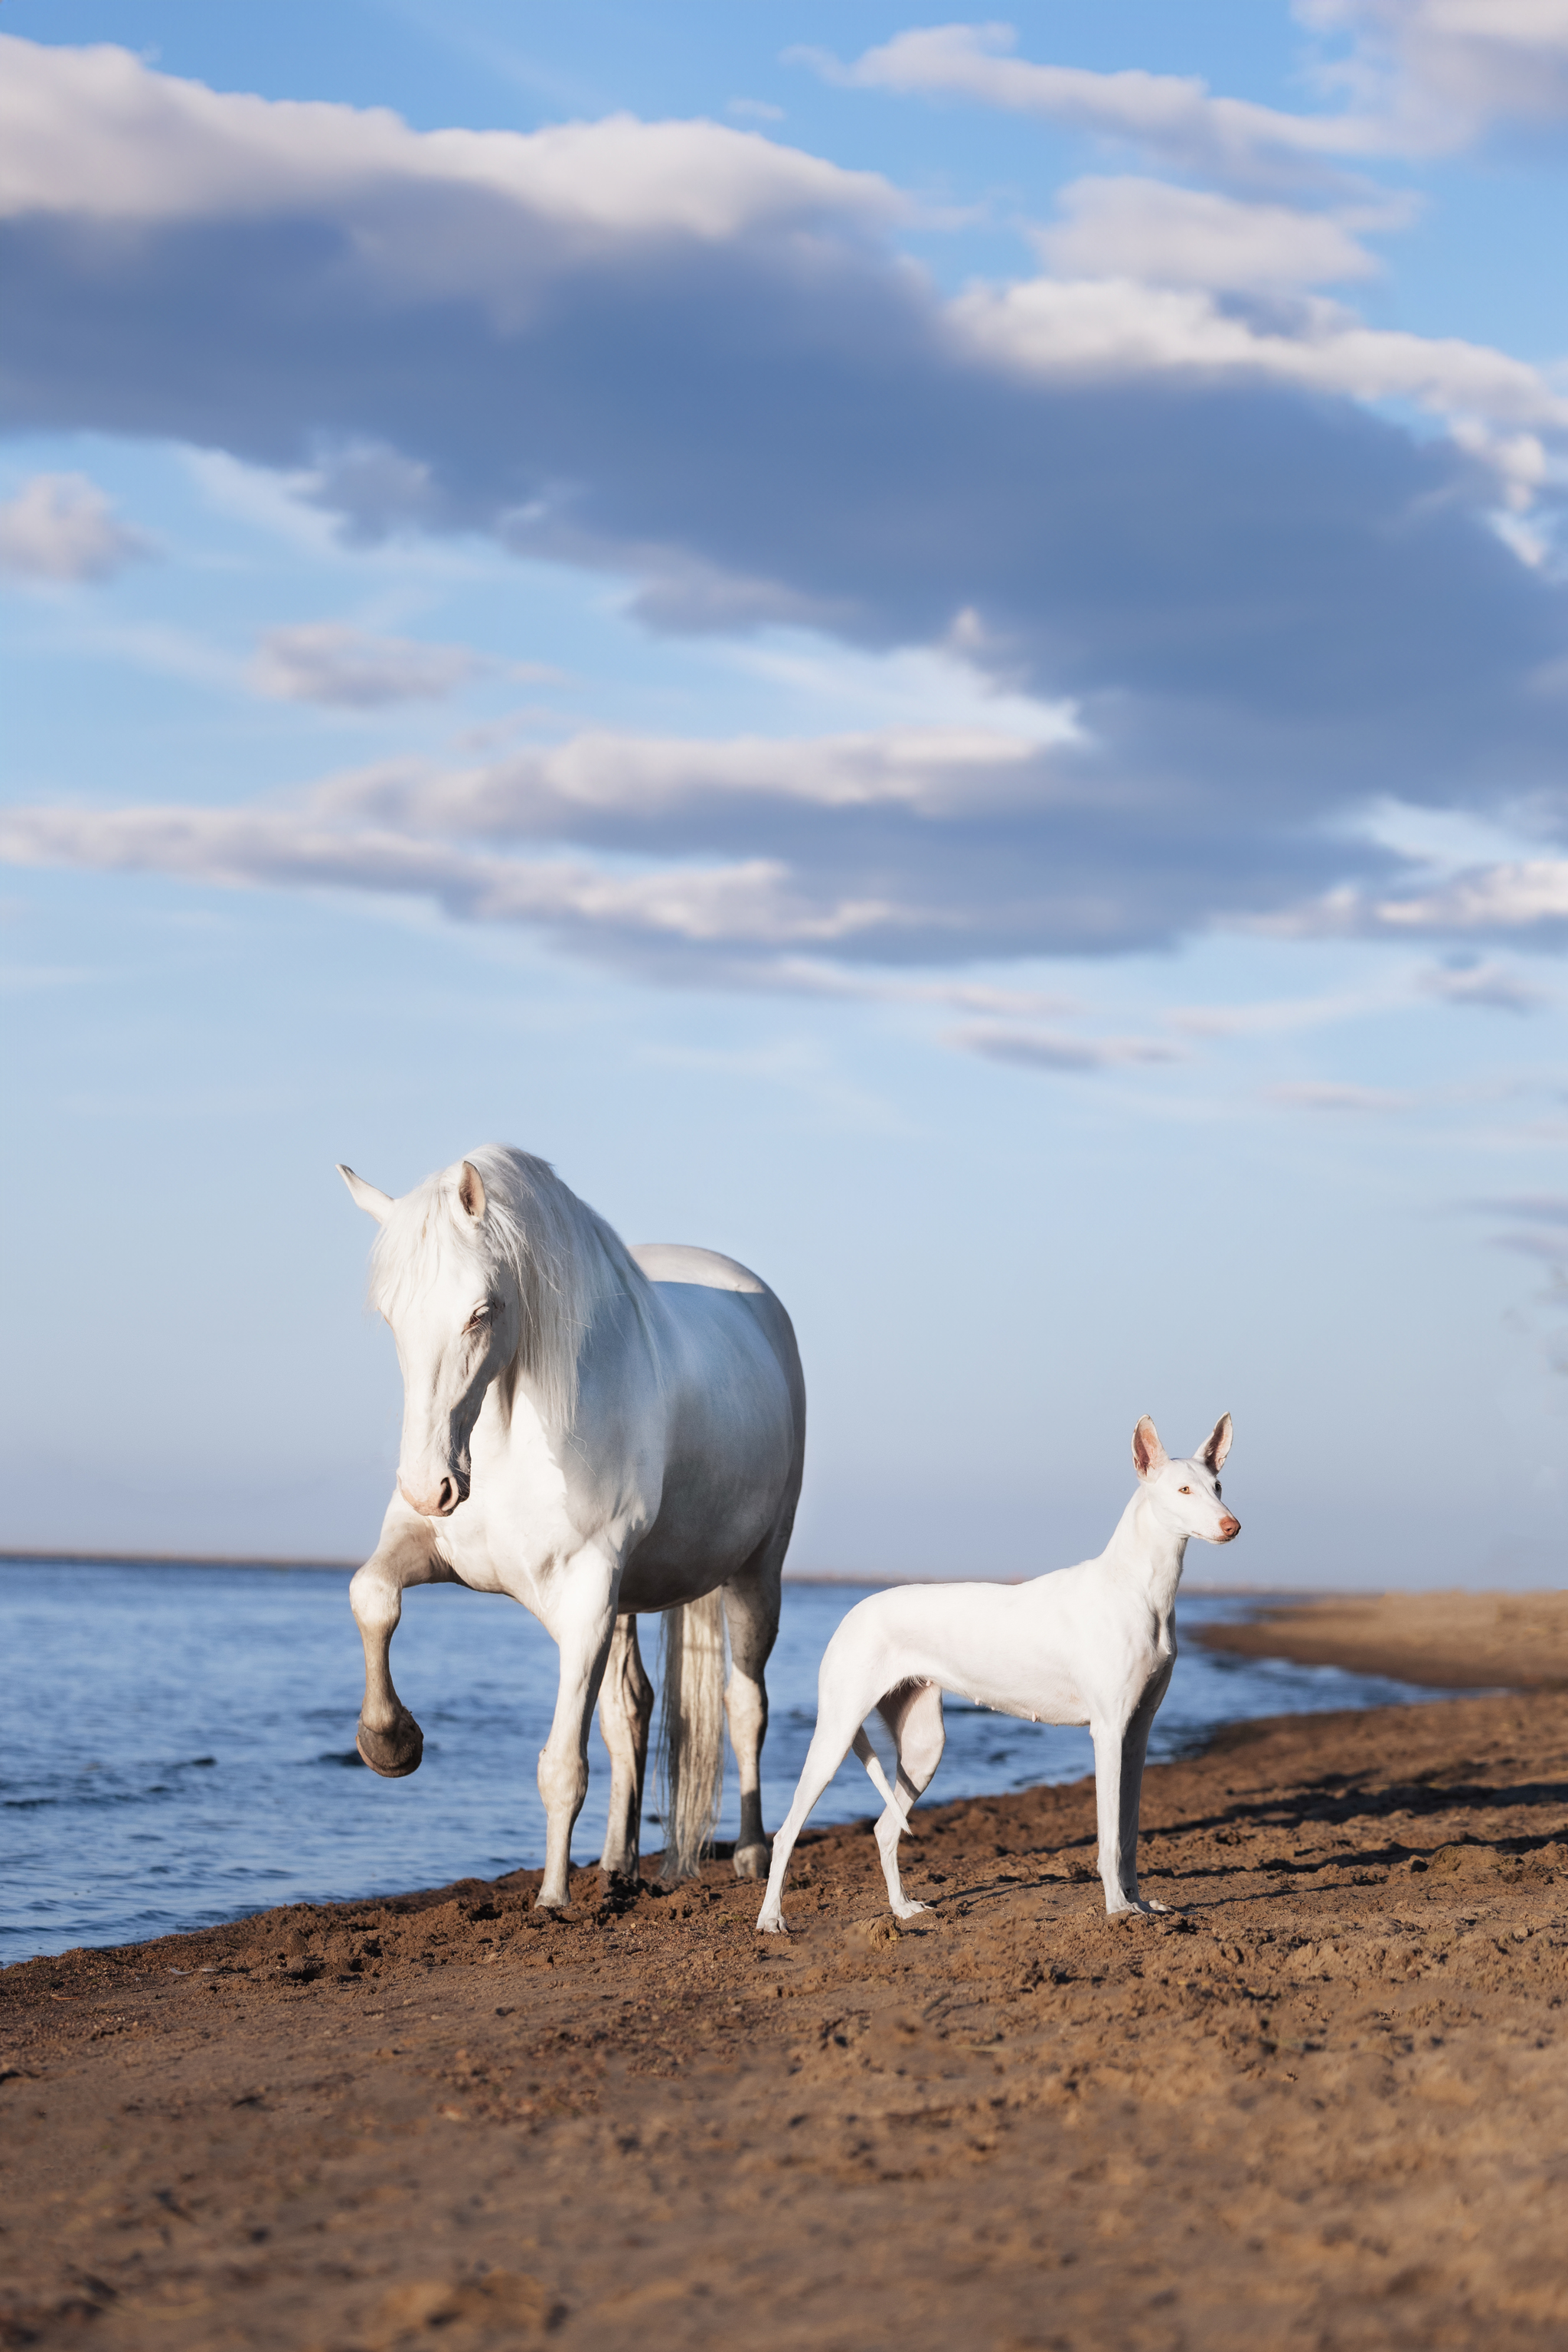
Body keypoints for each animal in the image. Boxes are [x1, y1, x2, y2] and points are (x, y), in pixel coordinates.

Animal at [336, 1142, 804, 1909]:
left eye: (480, 1312)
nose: (428, 1487)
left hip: (755, 1572)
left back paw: (753, 1851)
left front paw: (552, 1899)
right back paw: (619, 1861)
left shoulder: (586, 1598)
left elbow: (562, 1764)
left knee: (745, 1705)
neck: (510, 1433)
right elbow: (371, 1597)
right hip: (630, 1599)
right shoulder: (430, 1547)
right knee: (631, 1711)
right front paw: (390, 1742)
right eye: (390, 1316)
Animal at [756, 1411, 1241, 1929]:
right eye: (1183, 1490)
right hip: (836, 1733)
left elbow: (1128, 1836)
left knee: (886, 1828)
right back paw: (771, 1920)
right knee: (786, 1833)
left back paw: (903, 1909)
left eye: (1217, 1485)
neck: (1137, 1587)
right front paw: (1116, 1909)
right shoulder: (1109, 1732)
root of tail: (852, 1613)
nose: (1232, 1526)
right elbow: (1110, 1839)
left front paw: (1140, 1904)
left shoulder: (1137, 1734)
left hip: (924, 1747)